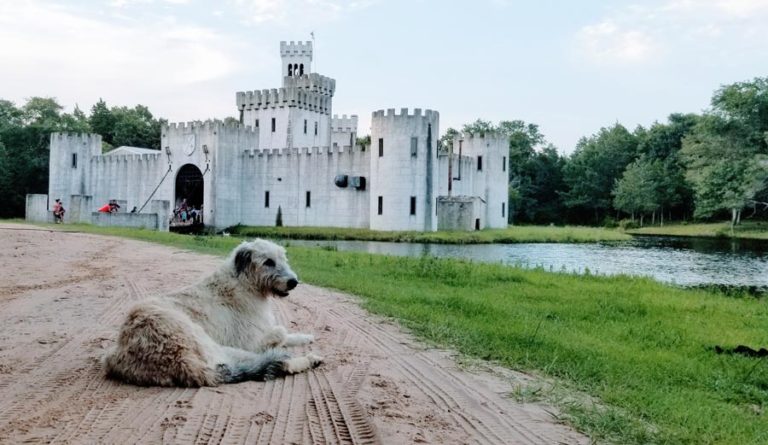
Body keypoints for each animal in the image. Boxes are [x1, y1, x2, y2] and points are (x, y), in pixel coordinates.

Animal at [103, 239, 320, 386]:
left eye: (283, 258)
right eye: (268, 262)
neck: (244, 282)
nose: (294, 282)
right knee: (273, 362)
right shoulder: (250, 341)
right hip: (216, 346)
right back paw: (307, 360)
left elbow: (290, 335)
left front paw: (305, 337)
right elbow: (281, 333)